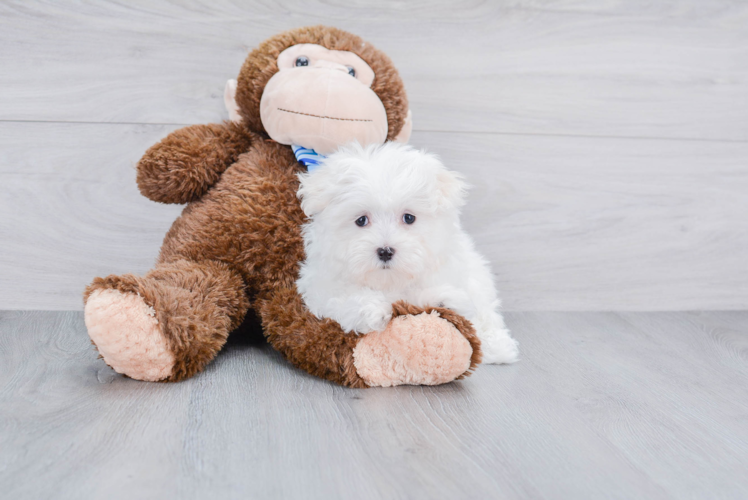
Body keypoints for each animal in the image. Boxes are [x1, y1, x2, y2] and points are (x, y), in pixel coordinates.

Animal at [296, 141, 516, 364]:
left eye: (409, 218)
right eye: (361, 220)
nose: (385, 251)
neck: (390, 282)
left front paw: (442, 301)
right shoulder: (321, 286)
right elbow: (340, 299)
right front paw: (371, 310)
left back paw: (498, 346)